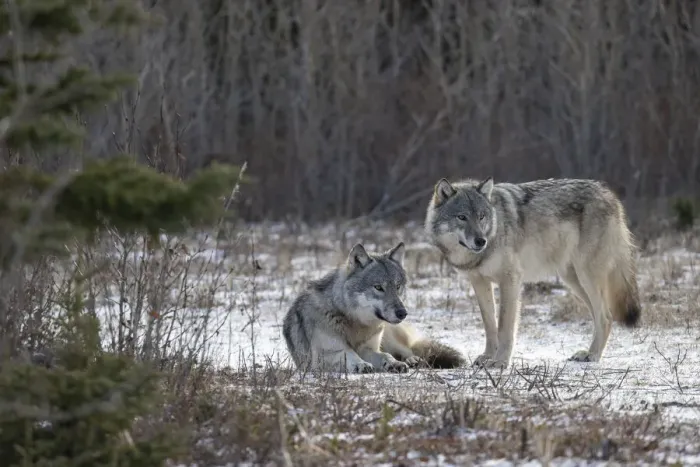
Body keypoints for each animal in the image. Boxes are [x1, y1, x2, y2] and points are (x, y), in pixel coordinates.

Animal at [282, 242, 466, 373]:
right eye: (378, 287)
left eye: (397, 286)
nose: (402, 313)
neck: (355, 323)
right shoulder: (324, 355)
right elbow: (348, 354)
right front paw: (361, 365)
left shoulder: (369, 348)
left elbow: (385, 355)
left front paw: (393, 364)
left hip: (390, 336)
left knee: (407, 351)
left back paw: (412, 361)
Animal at [424, 177, 641, 369]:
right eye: (461, 217)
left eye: (481, 216)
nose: (480, 241)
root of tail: (608, 194)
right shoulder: (479, 282)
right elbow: (489, 324)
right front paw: (487, 356)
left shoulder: (510, 280)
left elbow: (504, 326)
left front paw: (500, 362)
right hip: (573, 280)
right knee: (602, 316)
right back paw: (587, 353)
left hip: (586, 276)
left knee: (605, 316)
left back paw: (593, 355)